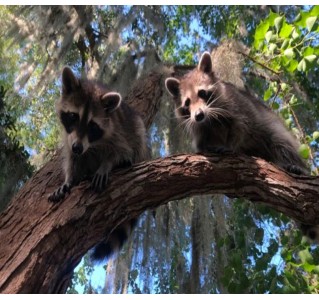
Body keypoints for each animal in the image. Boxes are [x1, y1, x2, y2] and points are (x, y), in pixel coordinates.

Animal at [49, 67, 151, 260]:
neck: (91, 144)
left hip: (138, 135)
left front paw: (107, 164)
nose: (78, 147)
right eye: (73, 116)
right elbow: (71, 159)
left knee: (138, 136)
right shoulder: (70, 139)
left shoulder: (118, 132)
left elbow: (120, 151)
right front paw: (69, 179)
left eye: (92, 126)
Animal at [166, 51, 318, 241]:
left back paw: (294, 165)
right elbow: (202, 143)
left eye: (202, 93)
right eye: (187, 103)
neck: (210, 117)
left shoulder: (236, 104)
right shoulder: (199, 128)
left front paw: (230, 145)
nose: (199, 115)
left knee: (281, 141)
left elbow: (242, 127)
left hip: (273, 128)